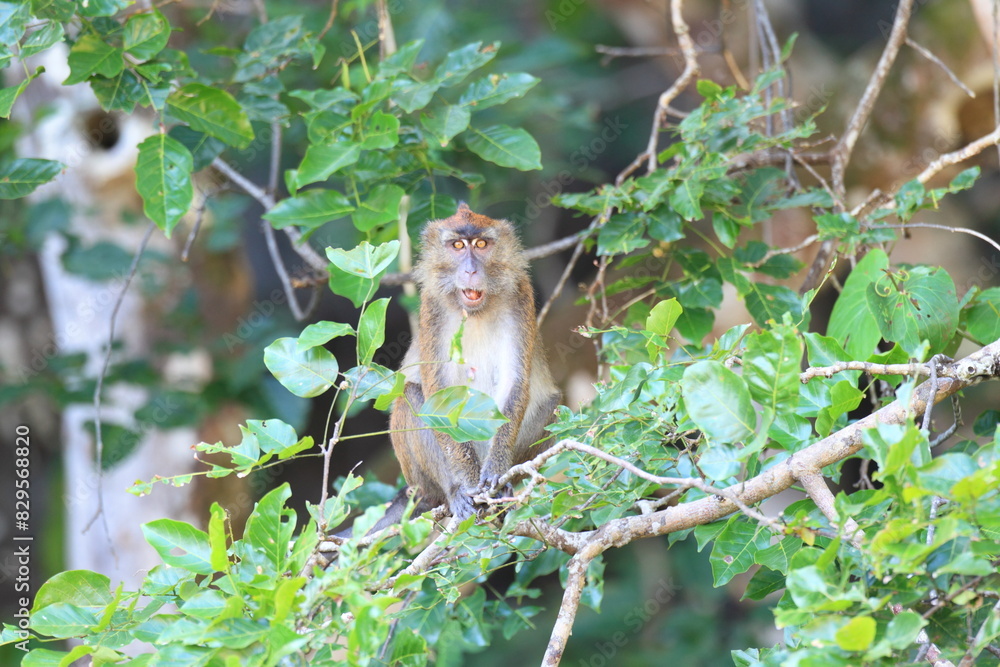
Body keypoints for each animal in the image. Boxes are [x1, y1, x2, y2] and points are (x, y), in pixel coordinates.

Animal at [337, 204, 561, 537]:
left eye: (480, 244)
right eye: (457, 246)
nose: (470, 270)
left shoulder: (520, 296)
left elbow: (516, 381)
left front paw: (496, 472)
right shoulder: (432, 306)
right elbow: (437, 393)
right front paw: (466, 484)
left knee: (553, 405)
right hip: (422, 481)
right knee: (411, 397)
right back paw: (453, 493)